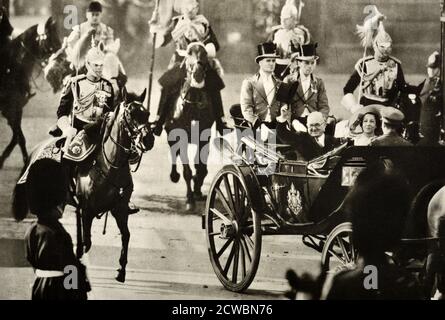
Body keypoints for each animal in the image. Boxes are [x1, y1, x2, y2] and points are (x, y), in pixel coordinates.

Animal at [0, 16, 61, 170]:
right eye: (50, 37)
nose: (62, 57)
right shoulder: (9, 110)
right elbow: (19, 137)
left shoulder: (17, 109)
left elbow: (17, 137)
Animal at [12, 89, 154, 282]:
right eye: (130, 114)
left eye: (147, 114)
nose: (148, 140)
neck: (109, 166)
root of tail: (35, 150)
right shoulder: (87, 212)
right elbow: (87, 243)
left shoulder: (120, 210)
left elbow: (125, 236)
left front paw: (121, 271)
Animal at [160, 42, 225, 211]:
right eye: (189, 53)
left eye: (205, 54)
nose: (198, 73)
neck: (193, 103)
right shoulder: (180, 136)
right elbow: (187, 170)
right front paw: (190, 200)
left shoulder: (204, 135)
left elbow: (200, 166)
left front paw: (197, 190)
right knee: (174, 152)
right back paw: (174, 175)